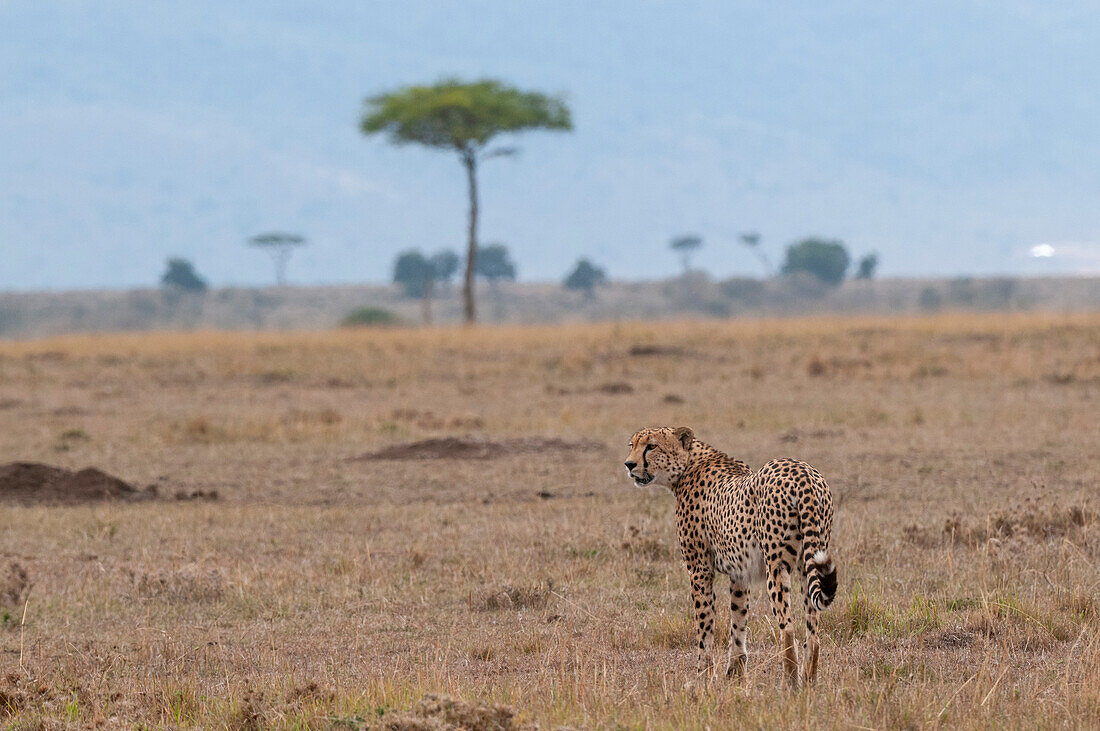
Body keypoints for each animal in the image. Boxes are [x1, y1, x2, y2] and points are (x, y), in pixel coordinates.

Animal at [624, 424, 836, 685]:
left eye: (651, 446)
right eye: (632, 445)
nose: (629, 464)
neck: (688, 464)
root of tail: (803, 472)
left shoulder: (699, 569)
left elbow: (704, 625)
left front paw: (703, 675)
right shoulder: (739, 573)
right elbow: (738, 619)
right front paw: (734, 673)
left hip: (776, 565)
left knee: (787, 627)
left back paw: (789, 683)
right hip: (809, 562)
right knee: (813, 631)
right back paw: (809, 681)